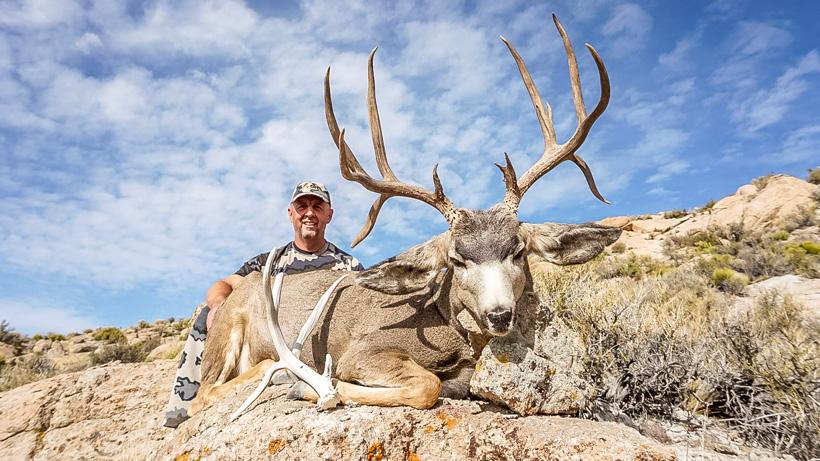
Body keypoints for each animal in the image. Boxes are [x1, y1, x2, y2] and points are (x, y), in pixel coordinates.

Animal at [191, 14, 621, 419]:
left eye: (517, 251)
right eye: (457, 260)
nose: (499, 315)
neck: (442, 319)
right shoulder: (362, 350)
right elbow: (426, 385)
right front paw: (317, 389)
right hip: (225, 331)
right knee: (203, 395)